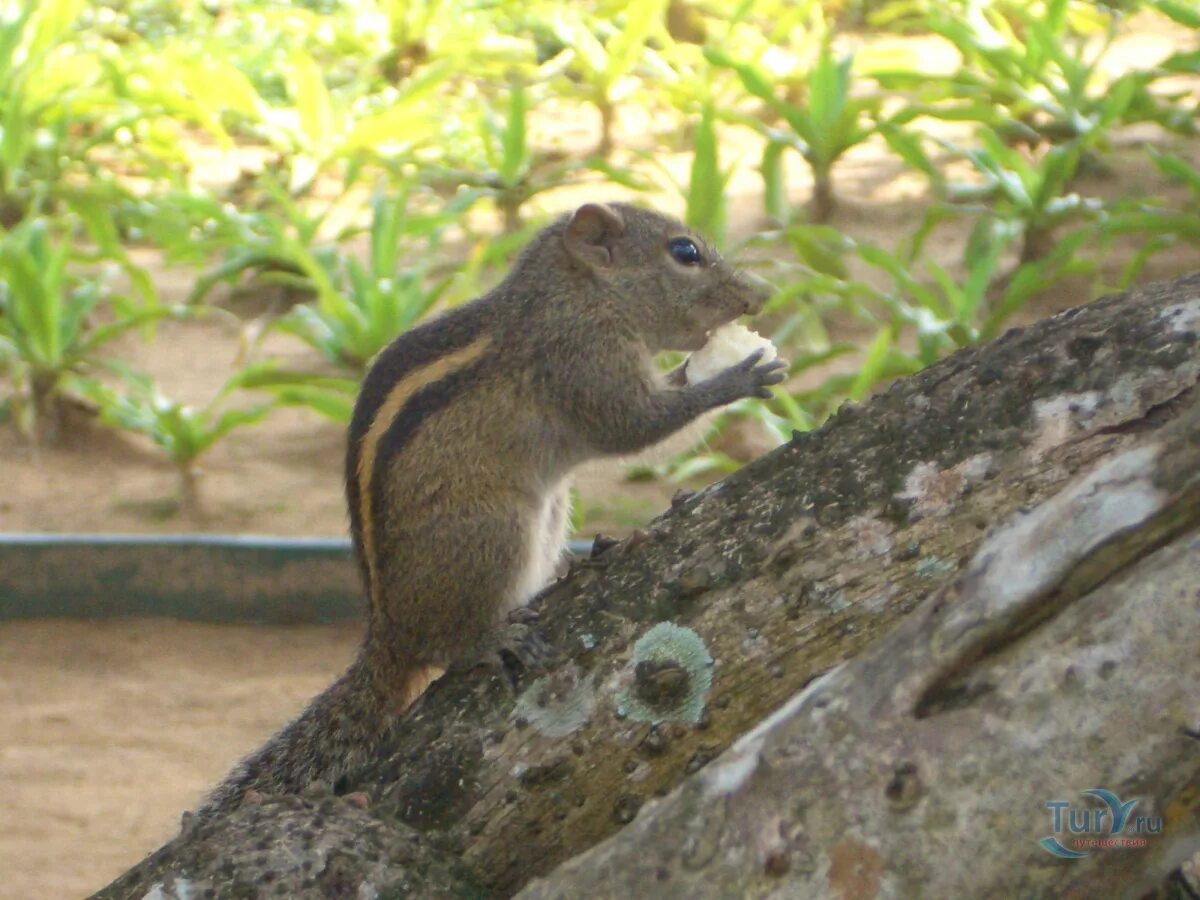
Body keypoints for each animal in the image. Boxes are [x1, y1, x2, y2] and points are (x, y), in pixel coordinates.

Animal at [201, 204, 782, 816]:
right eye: (685, 252)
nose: (757, 296)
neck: (576, 296)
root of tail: (388, 633)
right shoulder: (581, 360)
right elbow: (634, 426)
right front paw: (735, 377)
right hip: (492, 532)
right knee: (445, 645)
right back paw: (490, 639)